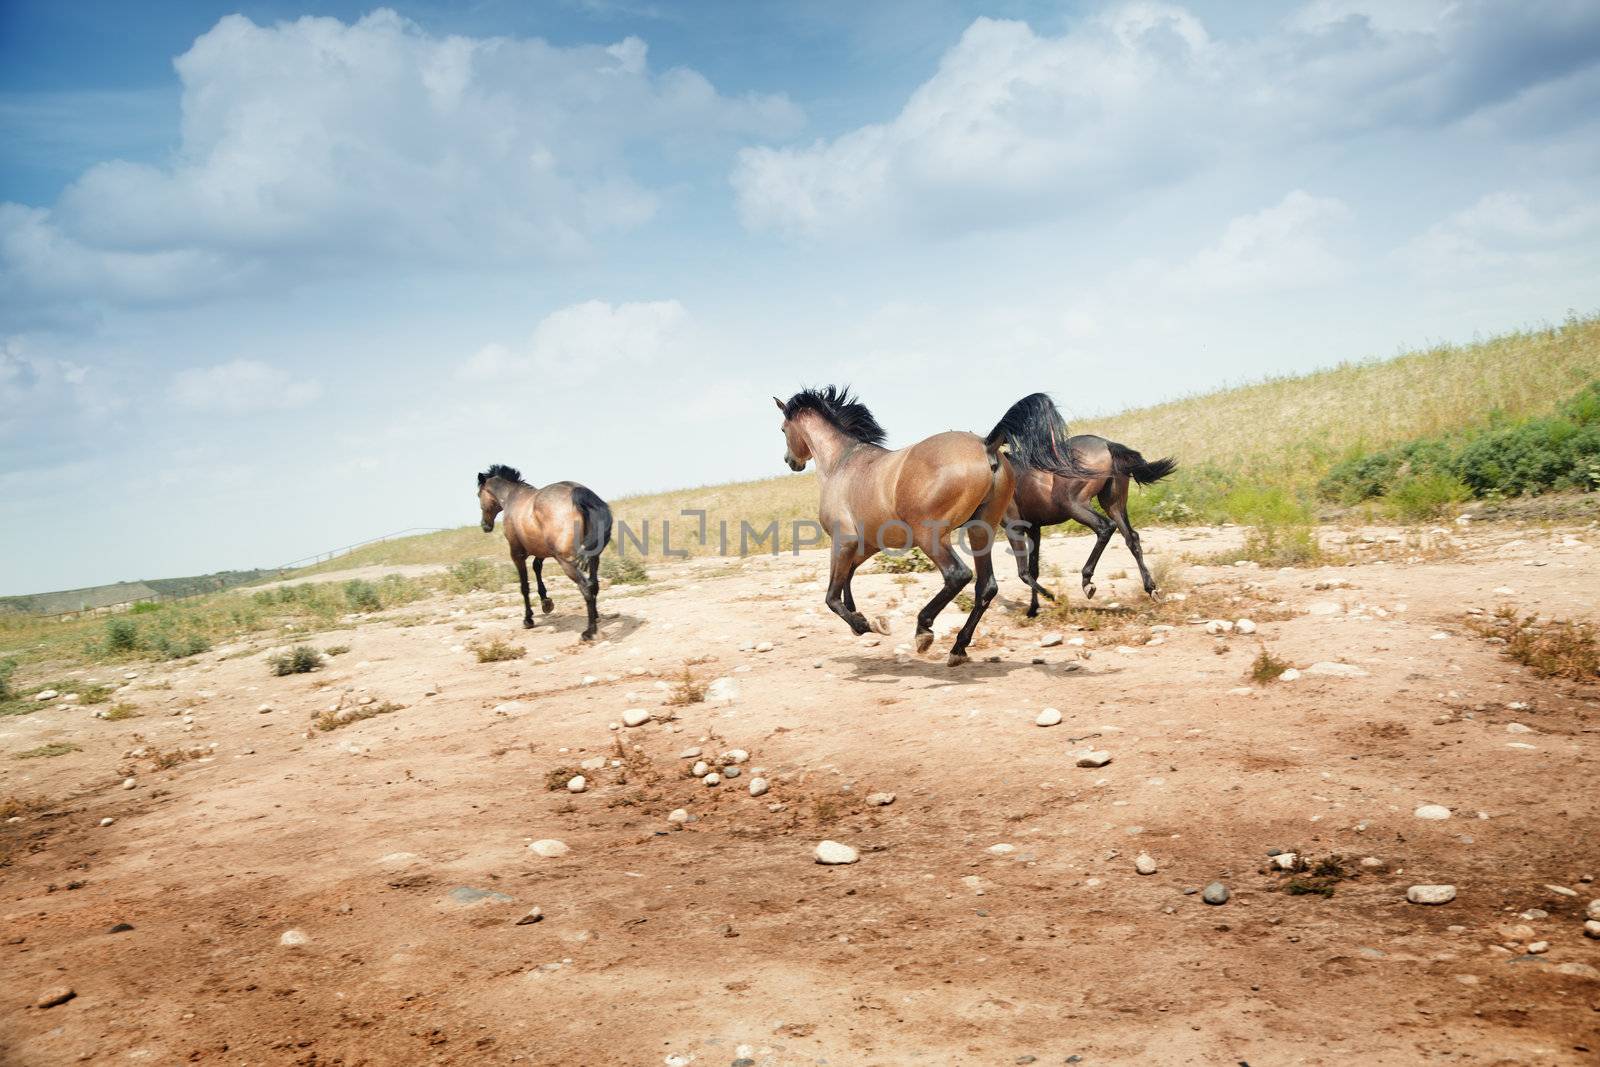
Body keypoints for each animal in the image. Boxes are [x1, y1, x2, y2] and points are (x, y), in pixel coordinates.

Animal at [473, 460, 611, 643]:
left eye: (478, 495)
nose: (485, 525)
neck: (511, 497)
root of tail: (578, 493)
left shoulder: (517, 554)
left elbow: (524, 586)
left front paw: (528, 619)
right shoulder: (541, 550)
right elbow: (537, 567)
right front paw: (546, 602)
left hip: (566, 561)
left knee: (586, 587)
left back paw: (589, 631)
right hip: (593, 558)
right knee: (594, 585)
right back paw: (595, 617)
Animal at [771, 383, 1094, 668]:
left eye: (783, 430)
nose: (790, 461)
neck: (841, 463)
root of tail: (986, 444)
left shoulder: (844, 540)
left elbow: (831, 595)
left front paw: (864, 624)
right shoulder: (868, 543)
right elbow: (847, 578)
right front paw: (865, 620)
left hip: (931, 535)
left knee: (957, 575)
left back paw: (923, 630)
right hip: (981, 529)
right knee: (986, 586)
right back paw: (958, 648)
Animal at [992, 396, 1184, 617]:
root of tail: (1108, 445)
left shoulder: (1014, 526)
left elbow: (1023, 572)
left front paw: (1052, 598)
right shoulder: (1034, 528)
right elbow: (1034, 569)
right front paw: (1033, 609)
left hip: (1074, 504)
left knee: (1105, 527)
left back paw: (1087, 582)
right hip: (1113, 504)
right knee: (1131, 537)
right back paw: (1152, 588)